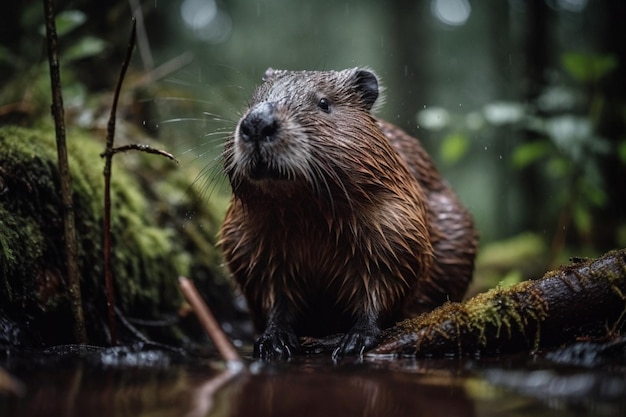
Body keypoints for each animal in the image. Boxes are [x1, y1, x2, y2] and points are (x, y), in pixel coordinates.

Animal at [217, 68, 476, 358]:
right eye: (254, 101)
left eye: (324, 103)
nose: (258, 123)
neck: (306, 215)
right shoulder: (246, 239)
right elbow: (269, 290)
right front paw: (273, 340)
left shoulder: (398, 222)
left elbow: (387, 278)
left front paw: (355, 340)